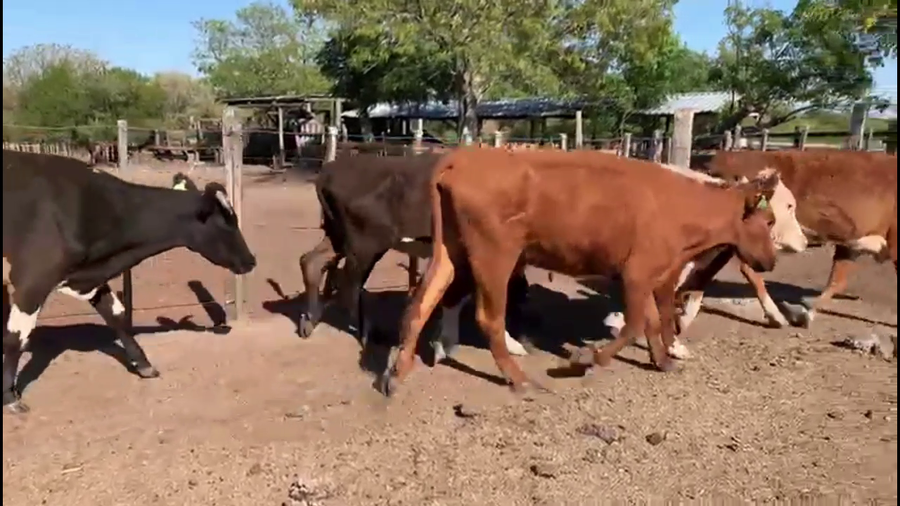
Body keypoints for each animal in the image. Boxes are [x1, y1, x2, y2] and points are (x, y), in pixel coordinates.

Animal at [2, 150, 256, 414]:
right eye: (225, 223)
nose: (251, 260)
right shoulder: (32, 281)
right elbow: (15, 337)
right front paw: (10, 396)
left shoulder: (90, 277)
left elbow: (116, 315)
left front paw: (144, 365)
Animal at [299, 153, 531, 364]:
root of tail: (330, 169)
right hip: (366, 244)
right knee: (350, 286)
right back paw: (369, 333)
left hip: (338, 235)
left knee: (312, 261)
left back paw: (309, 320)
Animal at [377, 147, 793, 396]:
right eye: (771, 219)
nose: (772, 262)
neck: (684, 205)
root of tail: (467, 156)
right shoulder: (637, 273)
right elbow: (635, 324)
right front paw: (585, 360)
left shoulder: (659, 272)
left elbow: (656, 321)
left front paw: (663, 360)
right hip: (495, 253)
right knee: (487, 316)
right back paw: (520, 379)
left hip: (449, 250)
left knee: (422, 302)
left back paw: (397, 373)